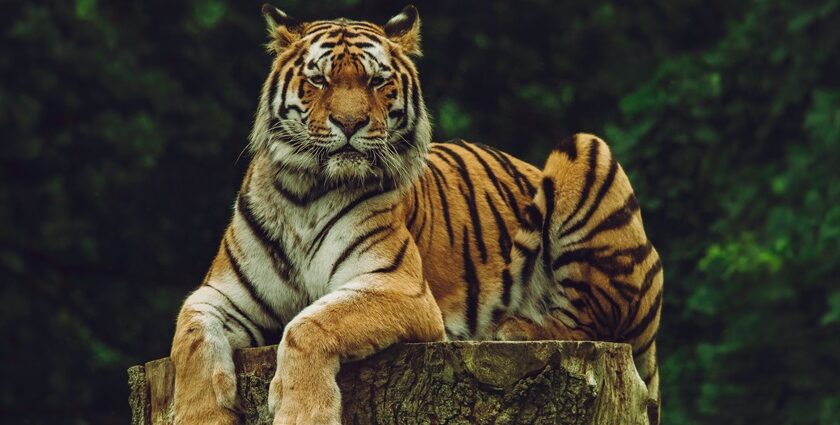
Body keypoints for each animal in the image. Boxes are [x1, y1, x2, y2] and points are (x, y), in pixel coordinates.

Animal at [171, 4, 668, 424]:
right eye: (319, 81)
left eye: (376, 82)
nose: (349, 124)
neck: (307, 192)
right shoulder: (221, 295)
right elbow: (190, 340)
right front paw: (201, 416)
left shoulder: (398, 286)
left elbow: (307, 324)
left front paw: (302, 413)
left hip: (586, 150)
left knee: (593, 323)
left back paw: (509, 328)